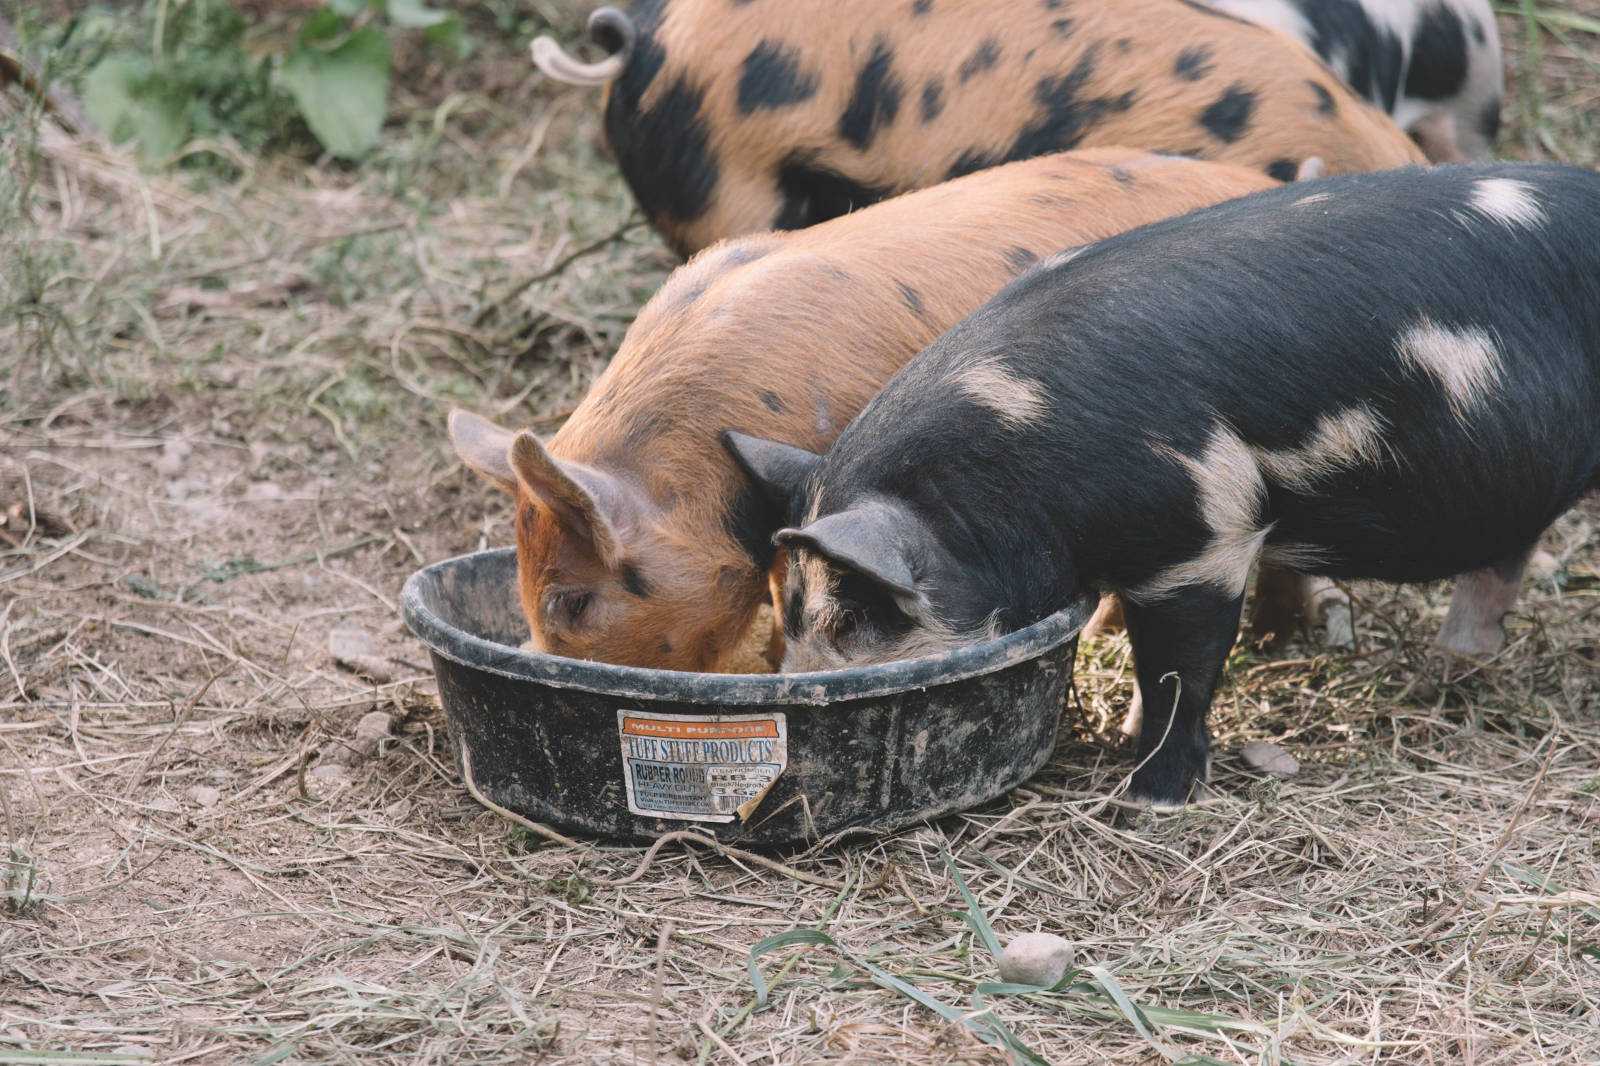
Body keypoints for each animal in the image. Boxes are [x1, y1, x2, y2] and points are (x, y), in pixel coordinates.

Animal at [732, 161, 1600, 806]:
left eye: (853, 615)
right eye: (787, 609)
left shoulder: (1203, 533)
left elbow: (1180, 668)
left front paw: (1148, 796)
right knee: (1504, 559)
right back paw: (1454, 671)